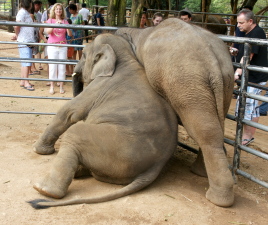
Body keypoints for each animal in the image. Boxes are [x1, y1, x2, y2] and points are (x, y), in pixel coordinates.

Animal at [29, 33, 178, 209]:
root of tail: (154, 168)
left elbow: (70, 111)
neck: (126, 57)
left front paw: (38, 150)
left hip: (117, 150)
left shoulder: (99, 85)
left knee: (75, 133)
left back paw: (43, 190)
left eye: (83, 54)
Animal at [115, 18, 234, 207]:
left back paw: (218, 199)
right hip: (223, 84)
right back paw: (200, 174)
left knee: (204, 132)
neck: (136, 32)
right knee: (214, 128)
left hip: (187, 83)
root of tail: (212, 58)